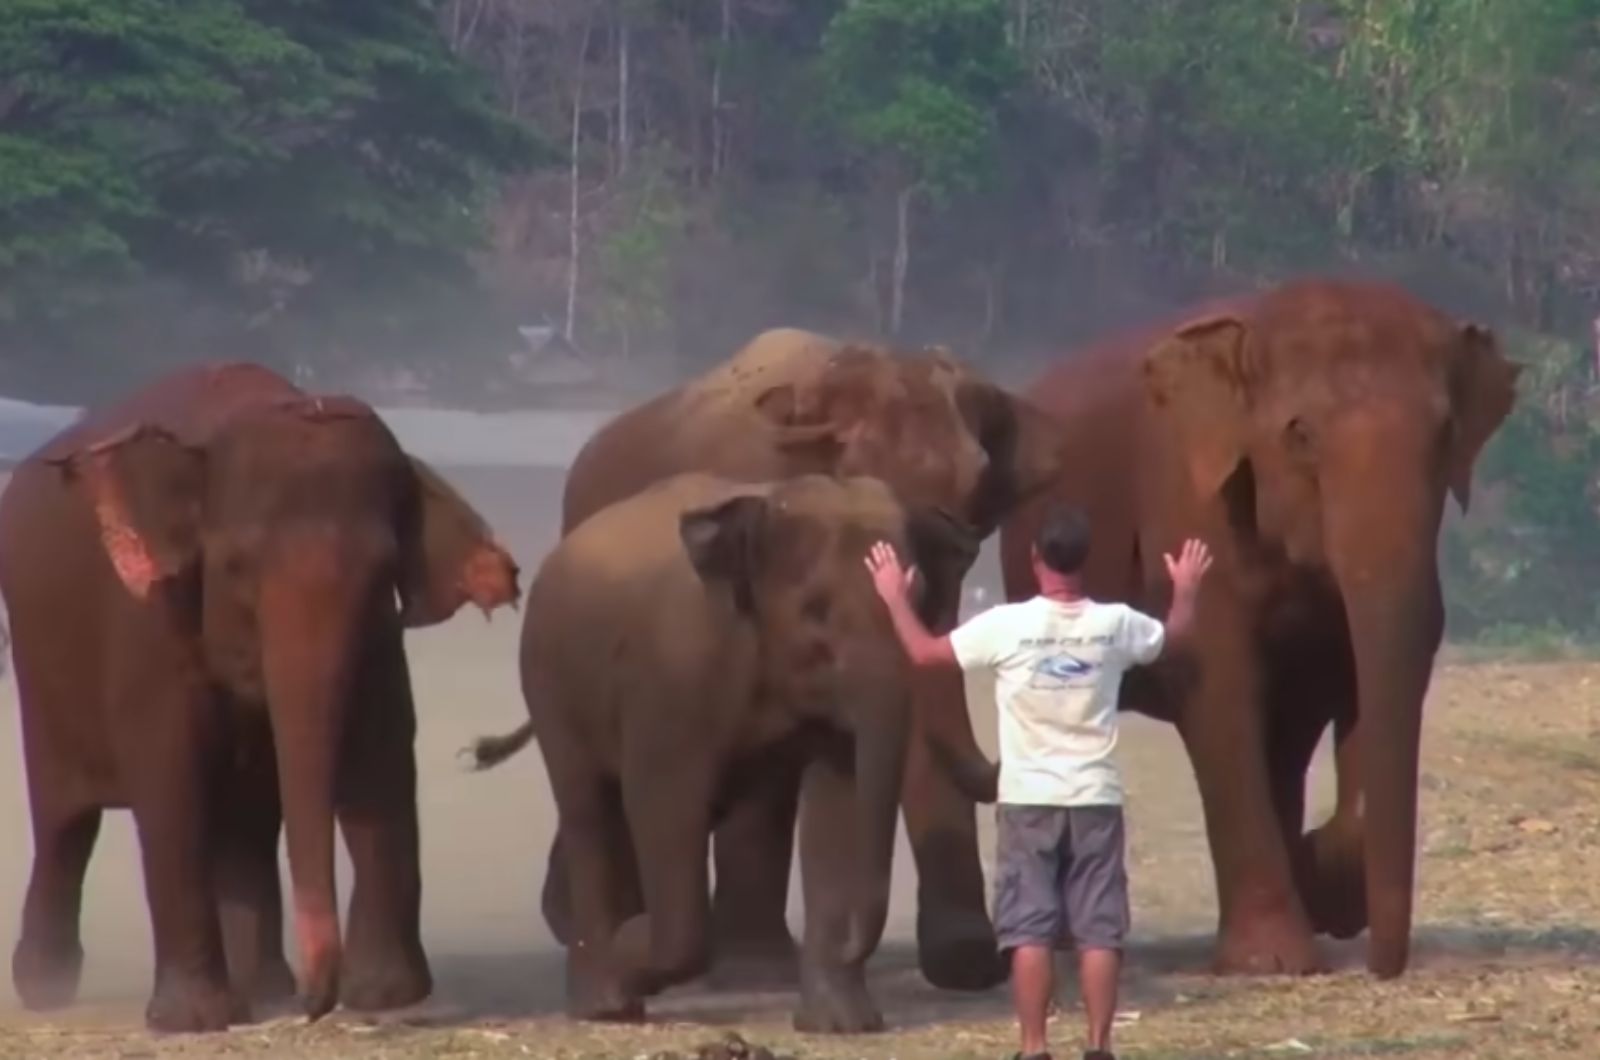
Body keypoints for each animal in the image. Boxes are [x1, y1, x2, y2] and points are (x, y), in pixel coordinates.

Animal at [0, 363, 518, 1031]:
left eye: (384, 569)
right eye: (236, 565)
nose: (313, 1007)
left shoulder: (377, 637)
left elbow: (381, 756)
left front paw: (384, 996)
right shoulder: (151, 621)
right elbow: (170, 776)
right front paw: (193, 1020)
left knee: (244, 825)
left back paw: (266, 988)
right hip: (39, 671)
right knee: (64, 822)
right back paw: (45, 985)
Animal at [467, 473, 972, 1037]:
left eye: (920, 600)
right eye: (814, 609)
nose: (851, 947)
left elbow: (841, 804)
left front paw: (842, 1025)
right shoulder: (673, 671)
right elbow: (663, 803)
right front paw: (628, 945)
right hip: (549, 682)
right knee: (588, 808)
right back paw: (604, 1000)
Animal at [992, 280, 1516, 979]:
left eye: (1447, 433)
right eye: (1299, 434)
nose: (1384, 966)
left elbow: (1343, 684)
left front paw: (1327, 888)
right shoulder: (1189, 498)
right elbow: (1218, 688)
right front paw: (1272, 960)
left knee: (1288, 740)